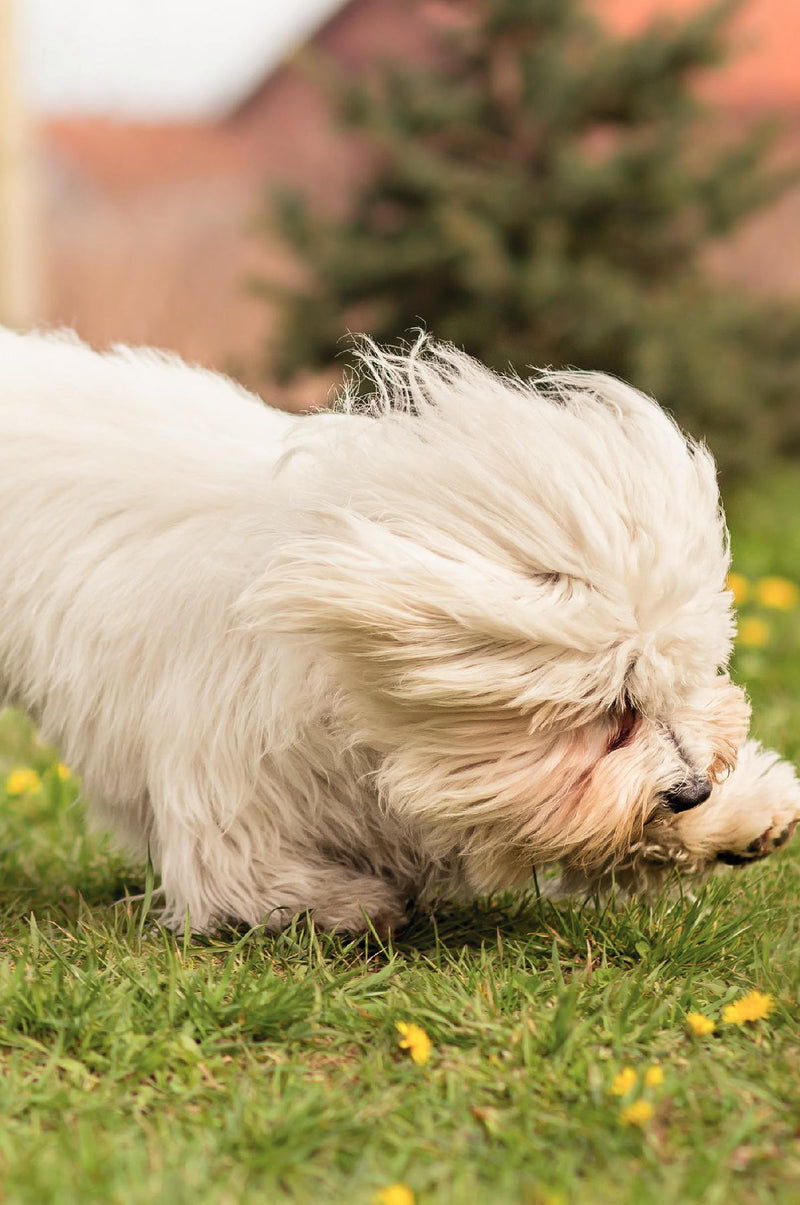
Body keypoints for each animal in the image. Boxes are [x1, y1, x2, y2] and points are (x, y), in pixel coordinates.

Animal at [0, 330, 795, 930]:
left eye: (684, 679)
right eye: (614, 709)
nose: (690, 789)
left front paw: (741, 813)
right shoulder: (227, 784)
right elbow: (245, 875)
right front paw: (351, 903)